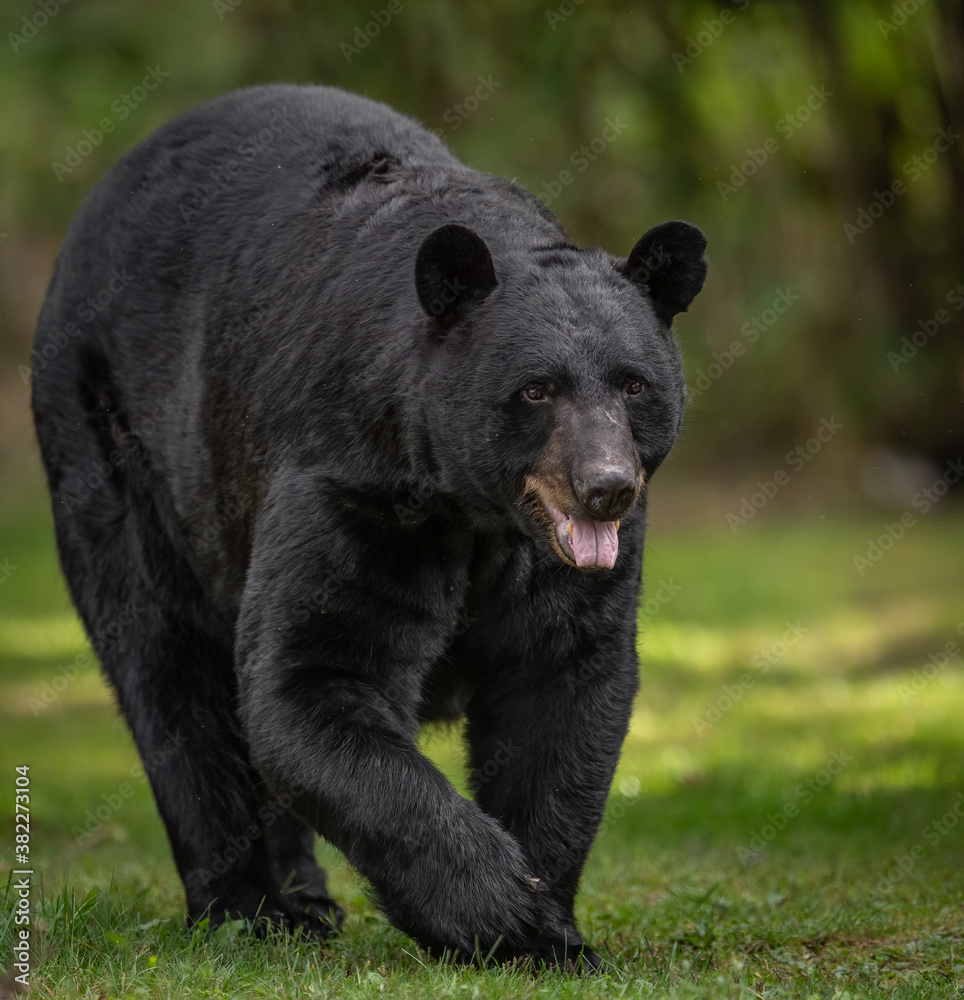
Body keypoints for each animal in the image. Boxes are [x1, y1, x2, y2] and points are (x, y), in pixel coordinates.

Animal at [30, 84, 707, 970]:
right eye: (537, 389)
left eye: (633, 385)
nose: (606, 490)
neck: (476, 514)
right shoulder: (353, 480)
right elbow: (312, 680)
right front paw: (510, 912)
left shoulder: (555, 566)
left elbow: (562, 692)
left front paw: (552, 927)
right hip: (113, 448)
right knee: (169, 672)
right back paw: (248, 909)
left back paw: (307, 901)